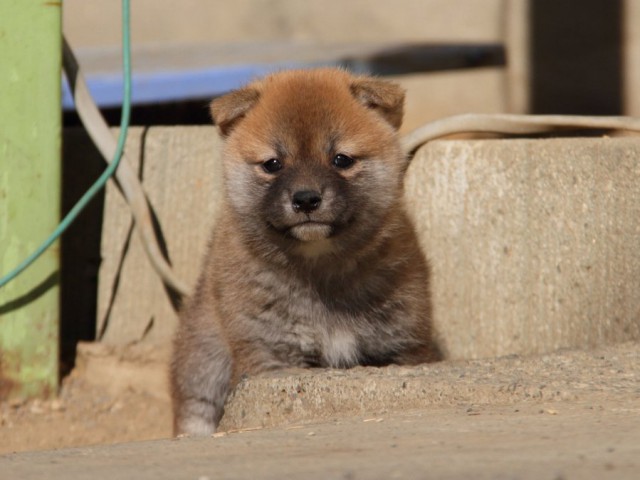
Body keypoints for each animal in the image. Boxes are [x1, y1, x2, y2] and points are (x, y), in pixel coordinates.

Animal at [170, 69, 440, 436]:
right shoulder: (271, 355)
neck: (320, 269)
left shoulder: (400, 348)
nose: (306, 198)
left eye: (341, 159)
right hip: (202, 370)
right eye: (272, 164)